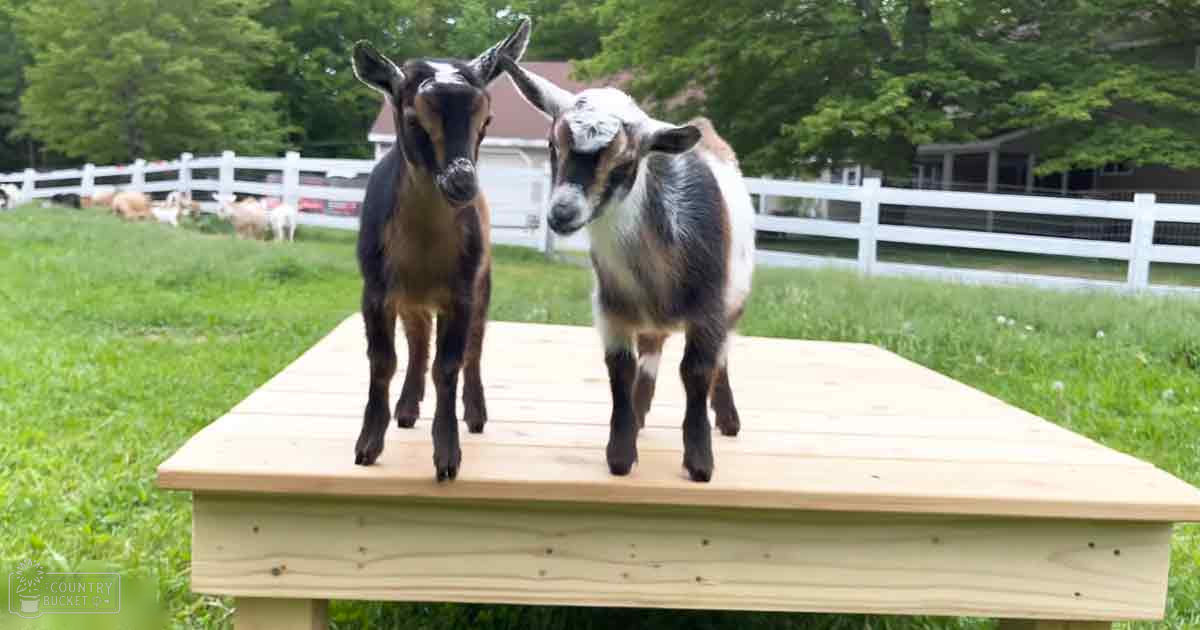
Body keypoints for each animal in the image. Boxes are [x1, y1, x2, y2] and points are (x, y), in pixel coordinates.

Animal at [349, 19, 531, 481]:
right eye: (414, 119)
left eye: (487, 119)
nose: (462, 182)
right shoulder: (375, 288)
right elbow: (382, 360)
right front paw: (367, 446)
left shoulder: (462, 291)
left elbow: (449, 365)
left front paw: (448, 458)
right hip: (410, 298)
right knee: (418, 342)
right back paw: (407, 409)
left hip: (483, 282)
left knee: (473, 346)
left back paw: (476, 414)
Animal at [503, 59, 755, 482]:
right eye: (553, 146)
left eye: (624, 162)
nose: (563, 212)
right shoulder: (612, 310)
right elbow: (620, 371)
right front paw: (621, 454)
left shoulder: (709, 310)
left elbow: (696, 371)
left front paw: (700, 463)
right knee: (650, 354)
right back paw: (640, 411)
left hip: (735, 300)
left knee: (721, 355)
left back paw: (729, 419)